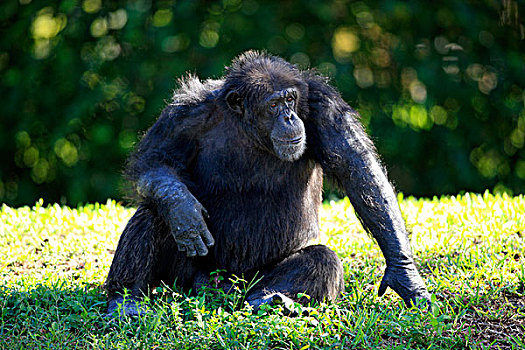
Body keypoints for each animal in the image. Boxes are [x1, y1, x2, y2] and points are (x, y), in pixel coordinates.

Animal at [103, 50, 430, 316]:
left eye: (291, 99)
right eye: (273, 104)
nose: (289, 117)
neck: (250, 128)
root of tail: (225, 287)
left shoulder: (324, 106)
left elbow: (357, 169)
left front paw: (404, 275)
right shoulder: (183, 113)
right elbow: (156, 160)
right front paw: (184, 211)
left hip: (253, 280)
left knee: (321, 258)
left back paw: (271, 299)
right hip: (189, 280)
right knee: (153, 212)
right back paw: (125, 300)